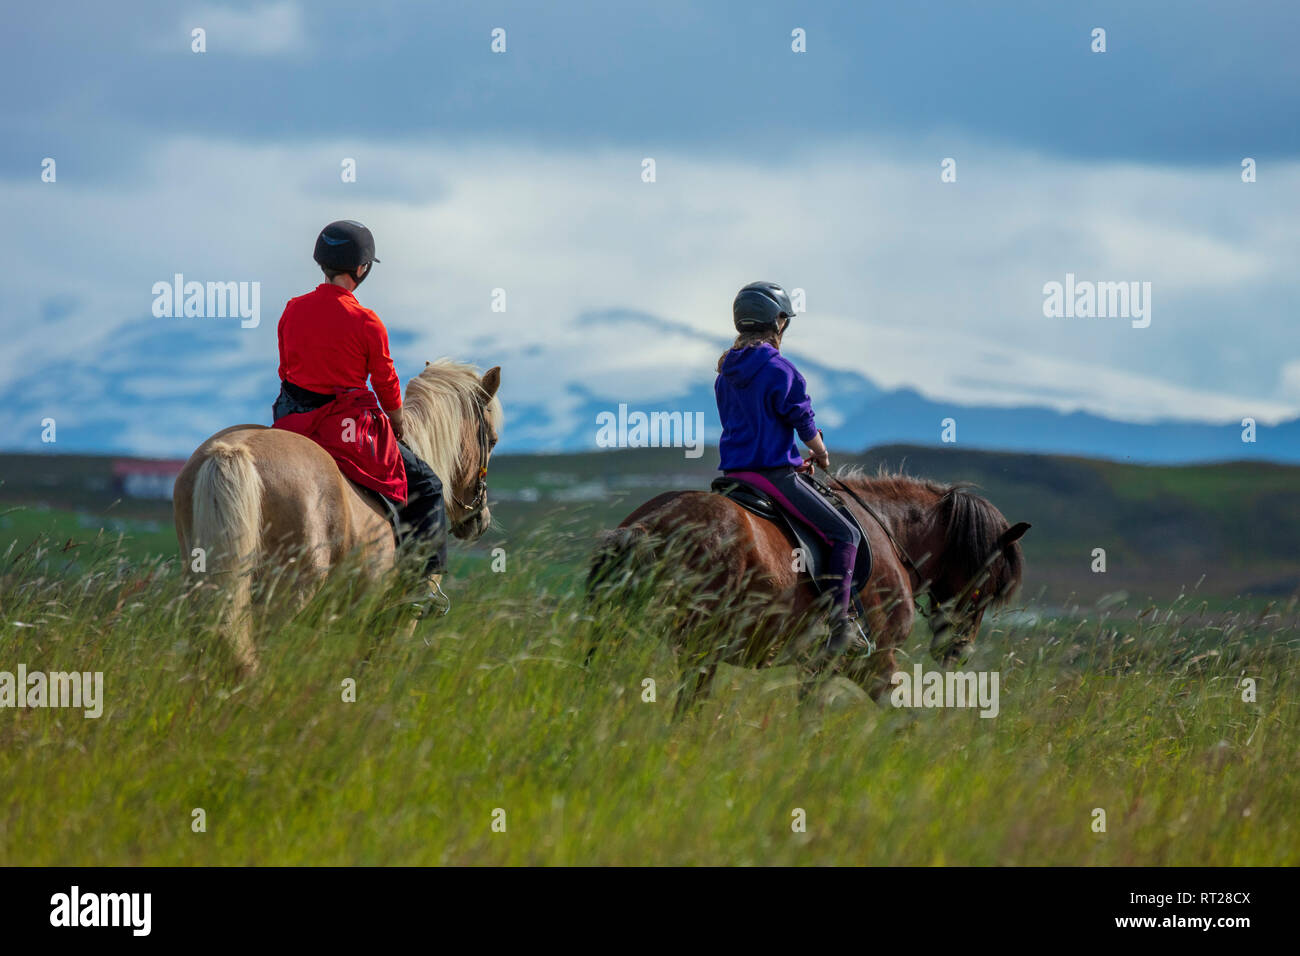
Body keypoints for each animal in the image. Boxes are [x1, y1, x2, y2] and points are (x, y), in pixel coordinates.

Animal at [590, 470, 1024, 712]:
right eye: (987, 583)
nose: (959, 651)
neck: (889, 533)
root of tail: (651, 524)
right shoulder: (873, 663)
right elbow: (901, 718)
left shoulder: (815, 668)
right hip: (700, 646)